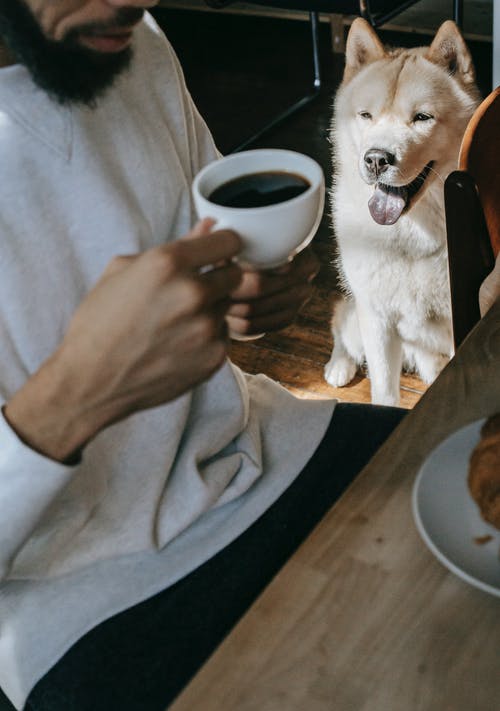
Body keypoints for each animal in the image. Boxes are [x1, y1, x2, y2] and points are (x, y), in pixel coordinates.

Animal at [324, 18, 480, 406]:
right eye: (366, 116)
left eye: (422, 118)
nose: (376, 159)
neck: (410, 233)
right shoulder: (377, 319)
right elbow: (383, 391)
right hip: (357, 319)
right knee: (339, 319)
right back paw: (339, 364)